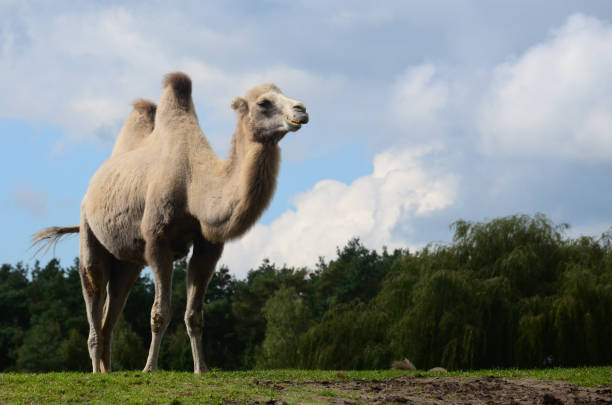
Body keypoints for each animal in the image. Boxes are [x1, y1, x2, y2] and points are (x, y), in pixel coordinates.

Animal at [32, 73, 310, 372]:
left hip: (128, 262)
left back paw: (108, 371)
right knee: (94, 289)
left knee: (113, 307)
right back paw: (97, 371)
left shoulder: (208, 246)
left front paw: (201, 369)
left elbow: (194, 315)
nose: (301, 110)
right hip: (89, 230)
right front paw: (150, 368)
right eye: (264, 102)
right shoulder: (157, 240)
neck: (193, 185)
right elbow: (159, 312)